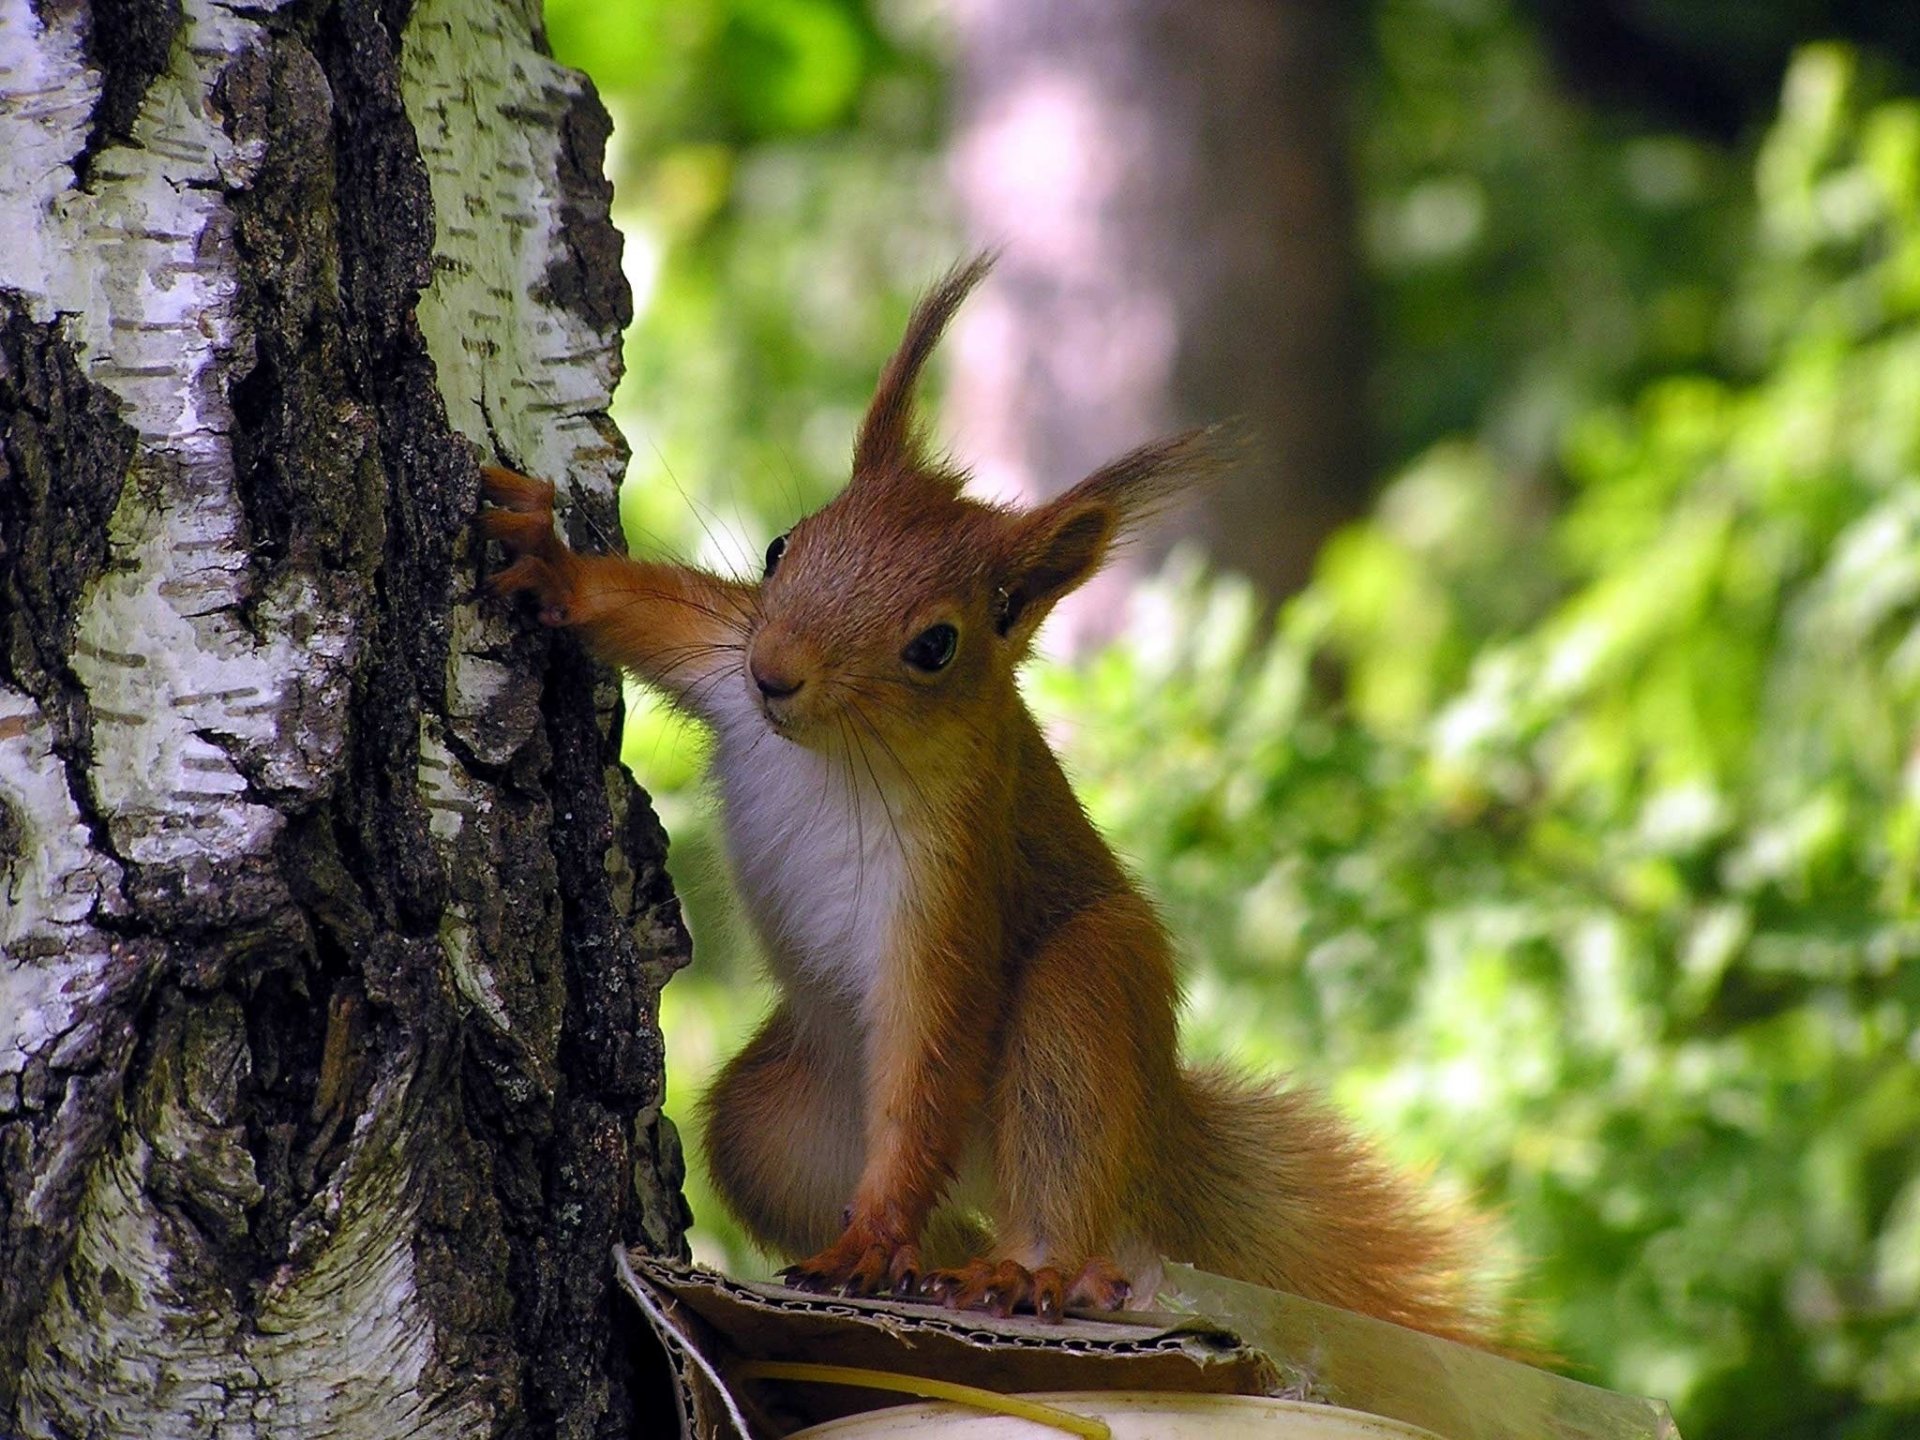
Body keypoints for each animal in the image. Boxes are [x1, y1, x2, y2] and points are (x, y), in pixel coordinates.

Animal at [480, 256, 1497, 1344]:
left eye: (936, 645)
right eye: (782, 547)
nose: (776, 674)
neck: (832, 753)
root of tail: (1155, 1142)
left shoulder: (955, 871)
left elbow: (930, 1049)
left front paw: (875, 1234)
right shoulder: (722, 655)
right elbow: (648, 610)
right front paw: (550, 562)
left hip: (1084, 1002)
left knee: (1055, 1166)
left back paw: (1031, 1271)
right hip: (776, 1125)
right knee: (917, 1207)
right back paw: (930, 1269)